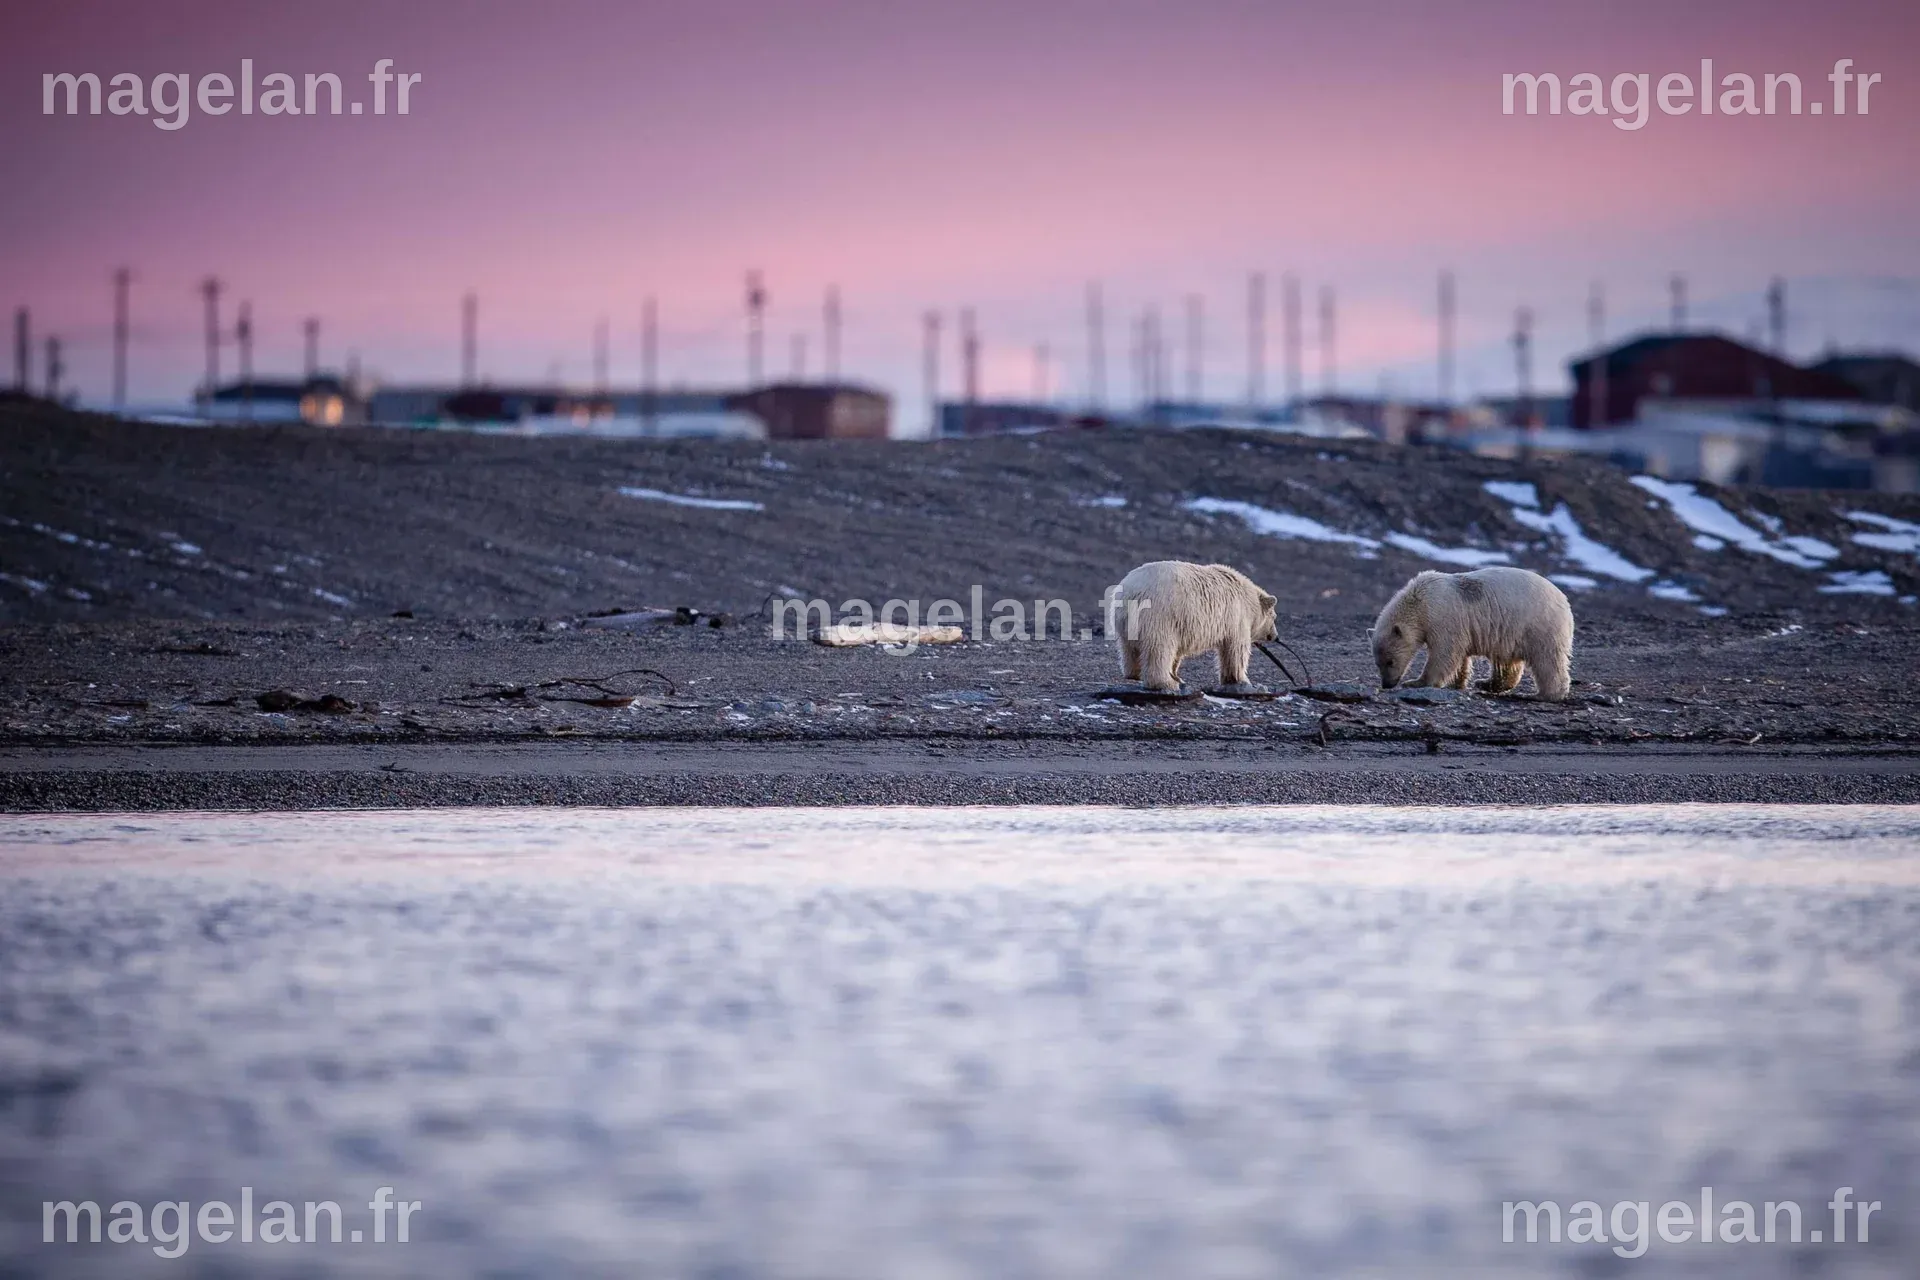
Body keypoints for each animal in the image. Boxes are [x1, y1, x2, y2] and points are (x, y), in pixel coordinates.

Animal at [1113, 560, 1278, 692]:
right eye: (1274, 617)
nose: (1275, 636)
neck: (1249, 599)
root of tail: (1130, 593)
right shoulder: (1237, 617)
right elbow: (1236, 650)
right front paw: (1241, 680)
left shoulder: (1182, 625)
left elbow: (1177, 652)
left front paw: (1177, 675)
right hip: (1159, 615)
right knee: (1159, 648)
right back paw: (1165, 683)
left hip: (1127, 622)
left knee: (1129, 649)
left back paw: (1135, 673)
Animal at [1371, 566, 1573, 701]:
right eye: (1377, 663)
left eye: (1390, 661)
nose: (1387, 684)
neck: (1420, 601)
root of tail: (1564, 601)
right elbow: (1458, 655)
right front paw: (1456, 683)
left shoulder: (1442, 617)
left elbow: (1445, 652)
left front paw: (1416, 682)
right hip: (1509, 633)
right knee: (1506, 662)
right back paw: (1485, 683)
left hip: (1539, 625)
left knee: (1547, 659)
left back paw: (1545, 694)